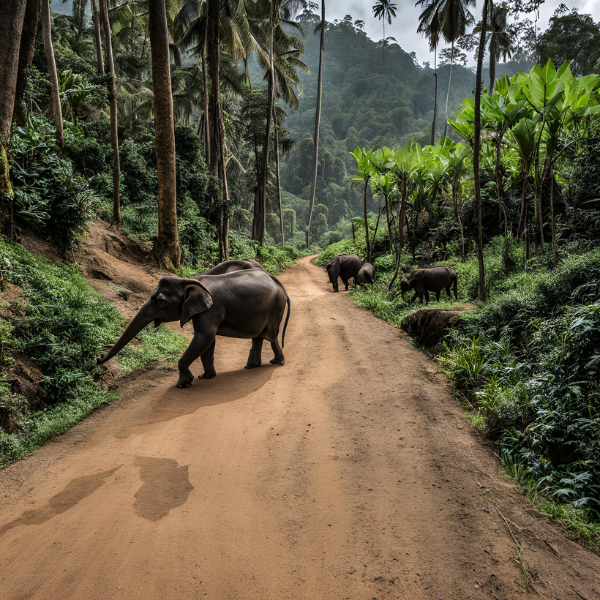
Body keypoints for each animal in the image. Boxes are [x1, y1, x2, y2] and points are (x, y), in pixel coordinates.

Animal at [97, 268, 290, 390]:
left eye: (161, 302)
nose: (98, 358)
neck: (191, 280)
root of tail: (279, 284)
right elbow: (208, 342)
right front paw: (206, 377)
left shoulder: (211, 309)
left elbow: (204, 337)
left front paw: (183, 384)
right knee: (258, 336)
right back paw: (251, 366)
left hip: (276, 307)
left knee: (271, 335)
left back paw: (276, 362)